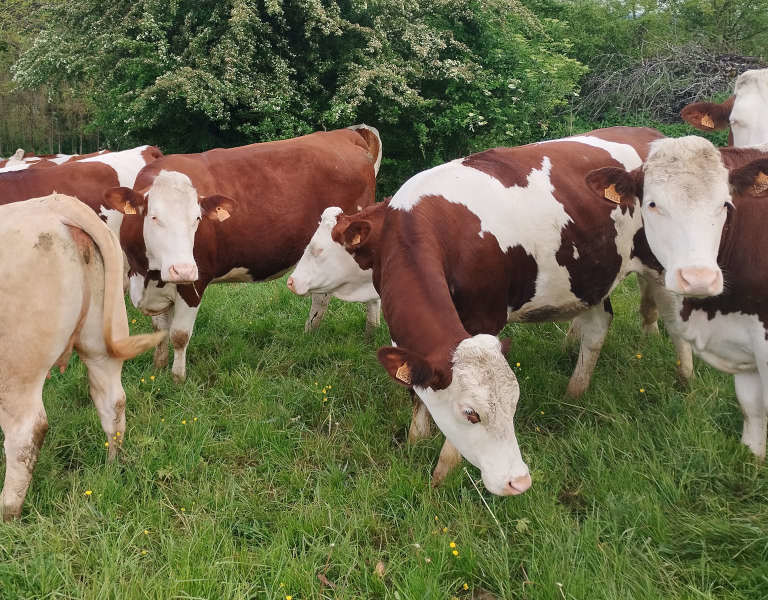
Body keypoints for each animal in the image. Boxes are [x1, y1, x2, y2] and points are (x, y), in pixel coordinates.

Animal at [0, 193, 165, 520]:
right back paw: (113, 467)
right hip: (101, 343)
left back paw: (8, 511)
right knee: (113, 402)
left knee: (25, 432)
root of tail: (56, 206)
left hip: (16, 366)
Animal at [104, 125, 382, 383]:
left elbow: (179, 335)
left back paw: (370, 334)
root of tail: (346, 134)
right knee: (322, 296)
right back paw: (312, 332)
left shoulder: (194, 283)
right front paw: (158, 368)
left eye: (197, 219)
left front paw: (178, 380)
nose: (183, 269)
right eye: (154, 217)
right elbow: (160, 329)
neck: (147, 274)